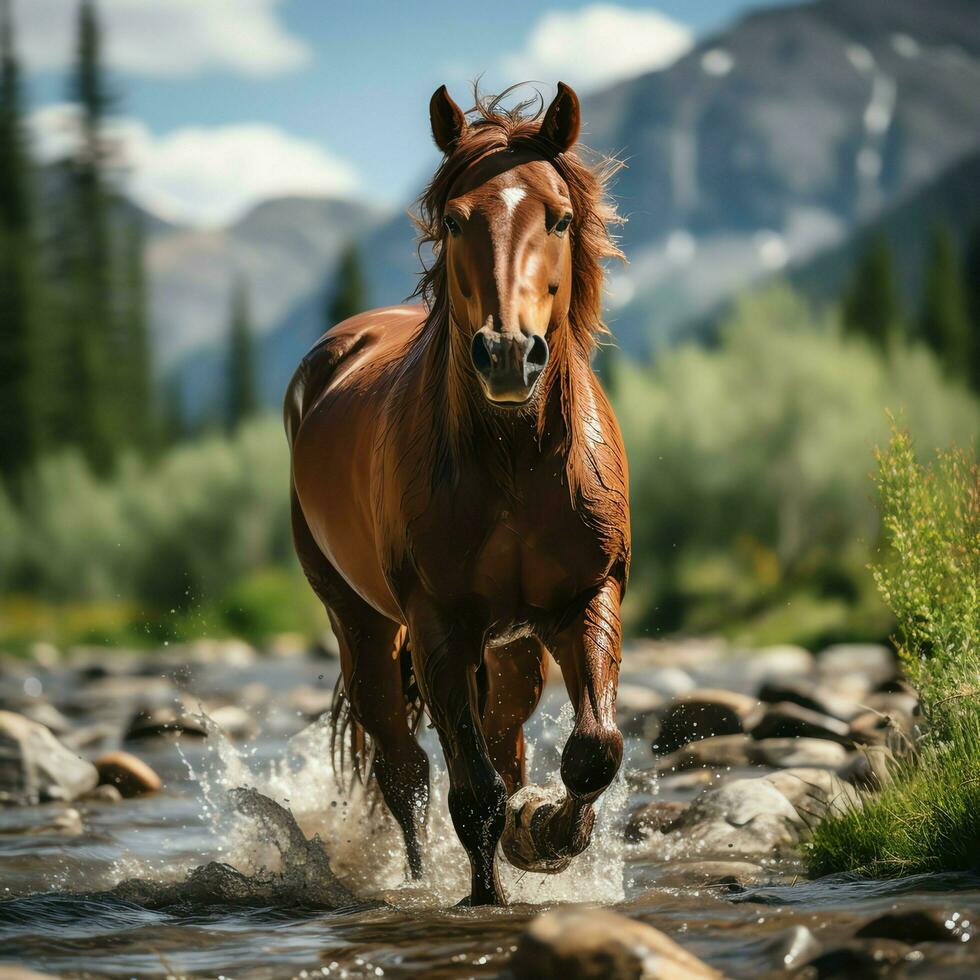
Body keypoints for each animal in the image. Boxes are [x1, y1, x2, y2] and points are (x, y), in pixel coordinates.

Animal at [288, 82, 632, 904]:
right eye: (454, 218)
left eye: (560, 217)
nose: (507, 354)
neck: (514, 460)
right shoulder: (438, 623)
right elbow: (471, 794)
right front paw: (486, 896)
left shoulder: (589, 597)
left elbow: (593, 749)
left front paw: (545, 835)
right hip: (362, 625)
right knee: (405, 773)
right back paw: (415, 878)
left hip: (512, 649)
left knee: (506, 742)